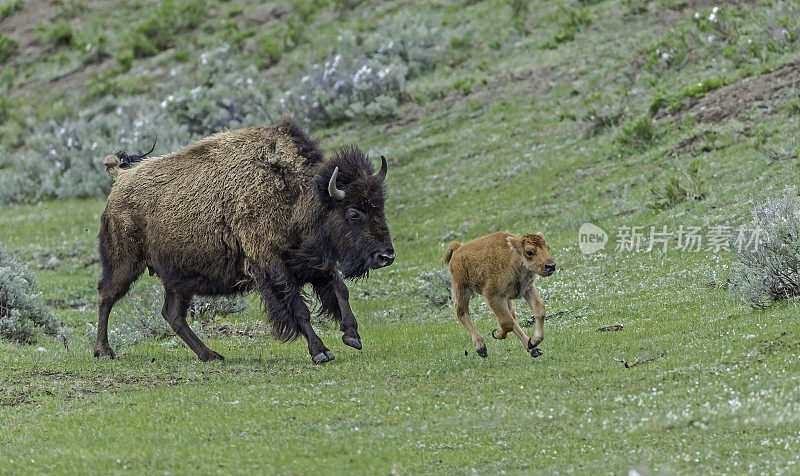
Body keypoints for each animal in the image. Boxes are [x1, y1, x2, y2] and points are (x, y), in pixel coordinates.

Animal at [95, 117, 396, 362]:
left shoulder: (316, 261)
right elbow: (299, 308)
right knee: (106, 296)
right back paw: (104, 351)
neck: (296, 196)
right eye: (354, 212)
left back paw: (210, 355)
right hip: (125, 263)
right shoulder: (272, 264)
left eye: (380, 206)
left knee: (173, 315)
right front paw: (321, 352)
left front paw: (352, 336)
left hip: (178, 278)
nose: (386, 256)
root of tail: (121, 178)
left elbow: (340, 290)